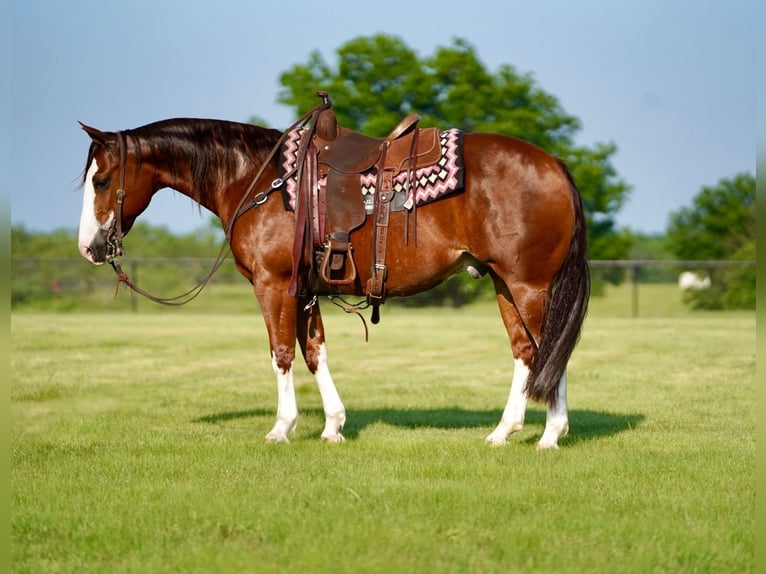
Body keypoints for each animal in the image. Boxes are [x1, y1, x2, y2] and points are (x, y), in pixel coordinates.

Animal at [78, 109, 592, 450]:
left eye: (101, 181)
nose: (90, 248)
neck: (255, 179)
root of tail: (555, 165)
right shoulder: (305, 290)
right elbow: (314, 354)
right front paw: (332, 426)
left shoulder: (273, 284)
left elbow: (282, 354)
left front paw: (282, 428)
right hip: (505, 284)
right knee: (527, 353)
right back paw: (505, 431)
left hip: (529, 285)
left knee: (550, 352)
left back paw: (550, 435)